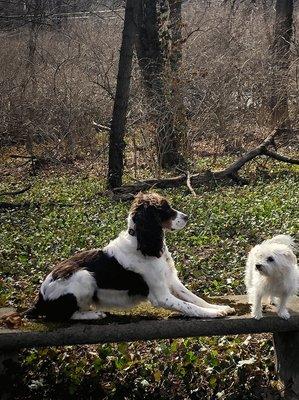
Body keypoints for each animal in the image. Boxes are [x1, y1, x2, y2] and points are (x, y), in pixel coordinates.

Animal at [27, 192, 236, 320]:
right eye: (164, 209)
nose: (186, 217)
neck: (145, 244)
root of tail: (40, 297)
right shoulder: (160, 295)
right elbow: (189, 306)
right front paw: (212, 314)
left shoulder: (172, 281)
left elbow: (195, 298)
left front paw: (219, 307)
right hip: (84, 276)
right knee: (64, 315)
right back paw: (95, 314)